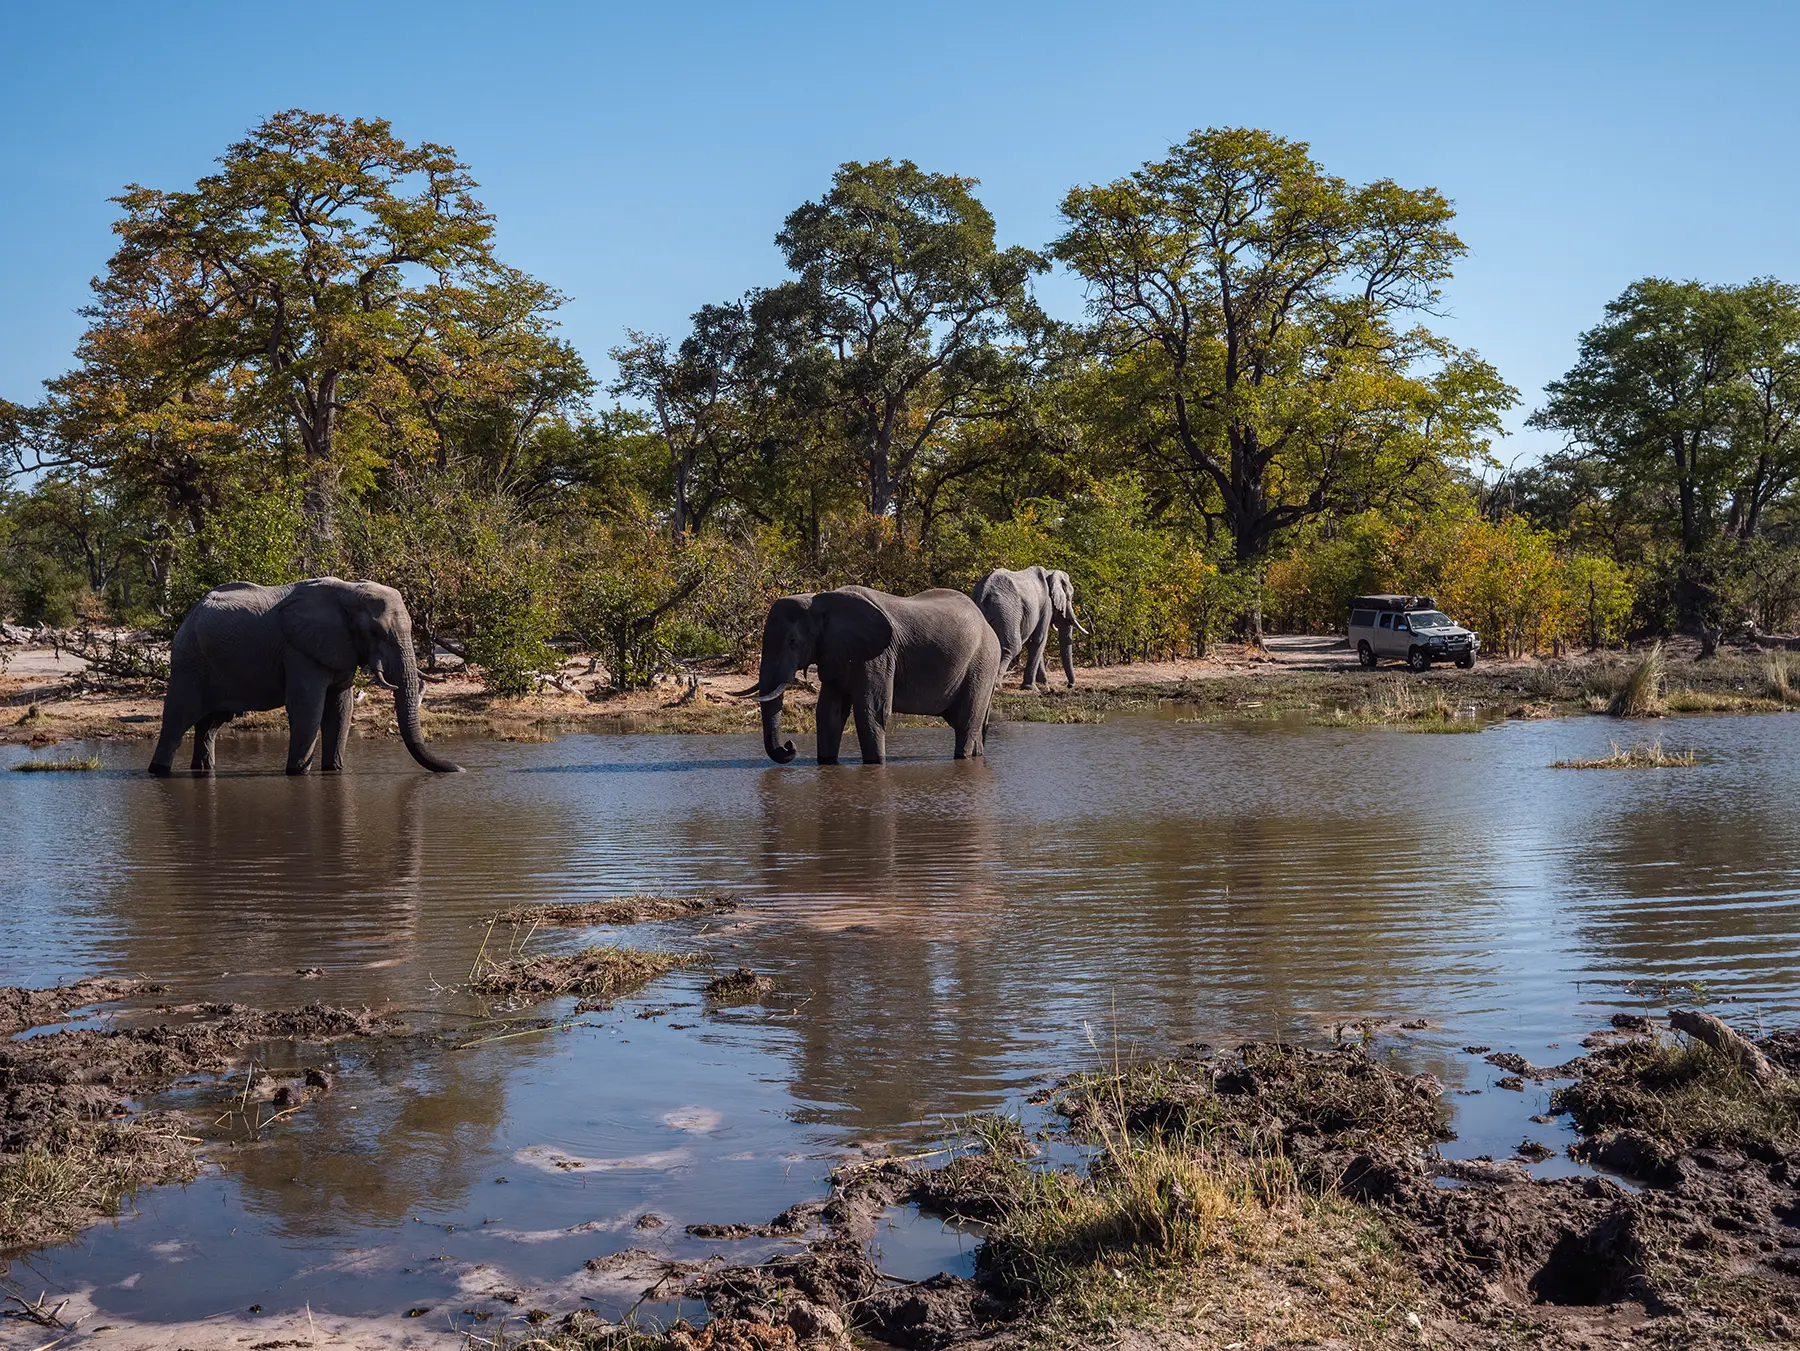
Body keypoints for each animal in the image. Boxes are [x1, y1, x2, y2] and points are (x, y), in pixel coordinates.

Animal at [148, 577, 462, 777]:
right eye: (376, 632)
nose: (460, 768)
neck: (349, 592)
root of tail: (189, 615)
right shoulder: (299, 650)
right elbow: (309, 706)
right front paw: (297, 772)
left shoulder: (340, 646)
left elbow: (341, 707)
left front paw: (334, 771)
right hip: (189, 660)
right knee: (177, 720)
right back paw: (158, 772)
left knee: (210, 724)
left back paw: (203, 770)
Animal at [741, 586, 1001, 765]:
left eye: (793, 642)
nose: (789, 746)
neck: (820, 600)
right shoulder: (835, 651)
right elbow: (829, 713)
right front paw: (827, 763)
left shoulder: (879, 657)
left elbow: (871, 710)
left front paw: (875, 764)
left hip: (983, 662)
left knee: (966, 719)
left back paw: (963, 759)